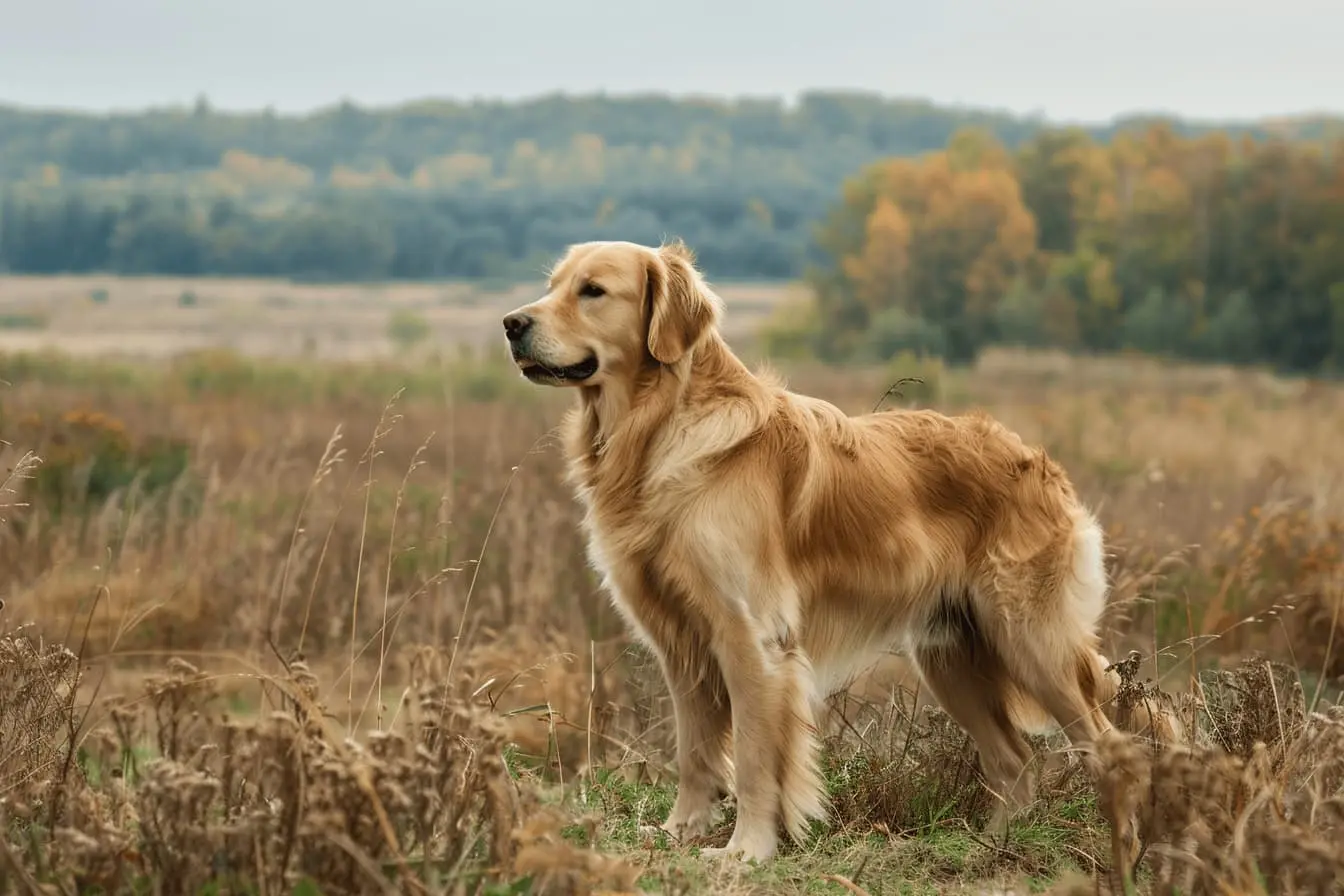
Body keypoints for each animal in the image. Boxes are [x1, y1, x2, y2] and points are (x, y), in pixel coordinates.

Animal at [499, 236, 1118, 859]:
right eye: (552, 286)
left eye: (593, 291)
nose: (510, 323)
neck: (658, 431)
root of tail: (1037, 460)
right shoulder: (680, 643)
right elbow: (695, 750)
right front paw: (681, 831)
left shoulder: (750, 637)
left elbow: (753, 756)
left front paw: (745, 850)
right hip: (952, 656)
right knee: (1015, 761)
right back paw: (990, 846)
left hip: (1033, 643)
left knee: (1108, 747)